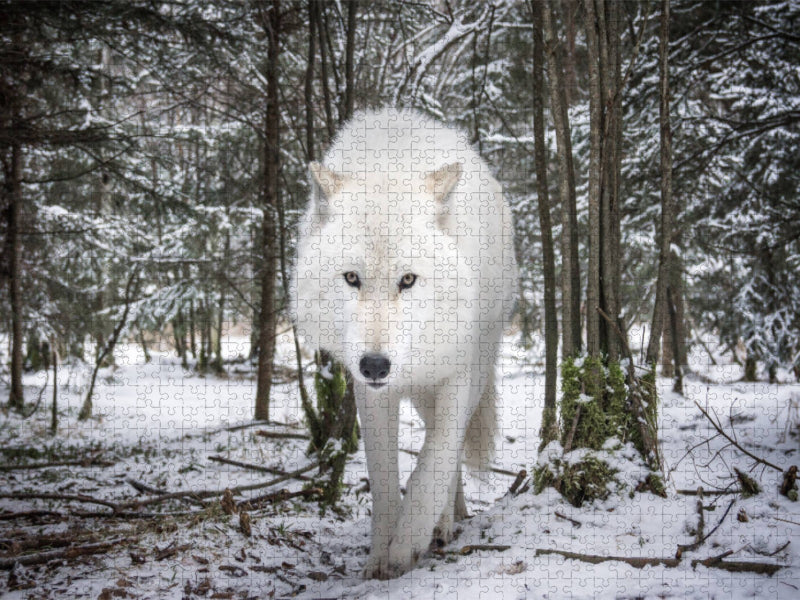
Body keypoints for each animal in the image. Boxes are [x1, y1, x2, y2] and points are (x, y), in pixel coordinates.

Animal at [291, 108, 517, 579]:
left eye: (408, 280)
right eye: (351, 278)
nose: (376, 365)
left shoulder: (458, 375)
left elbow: (435, 463)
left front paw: (408, 541)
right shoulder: (371, 395)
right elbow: (383, 478)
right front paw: (380, 556)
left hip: (475, 369)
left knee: (448, 449)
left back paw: (443, 524)